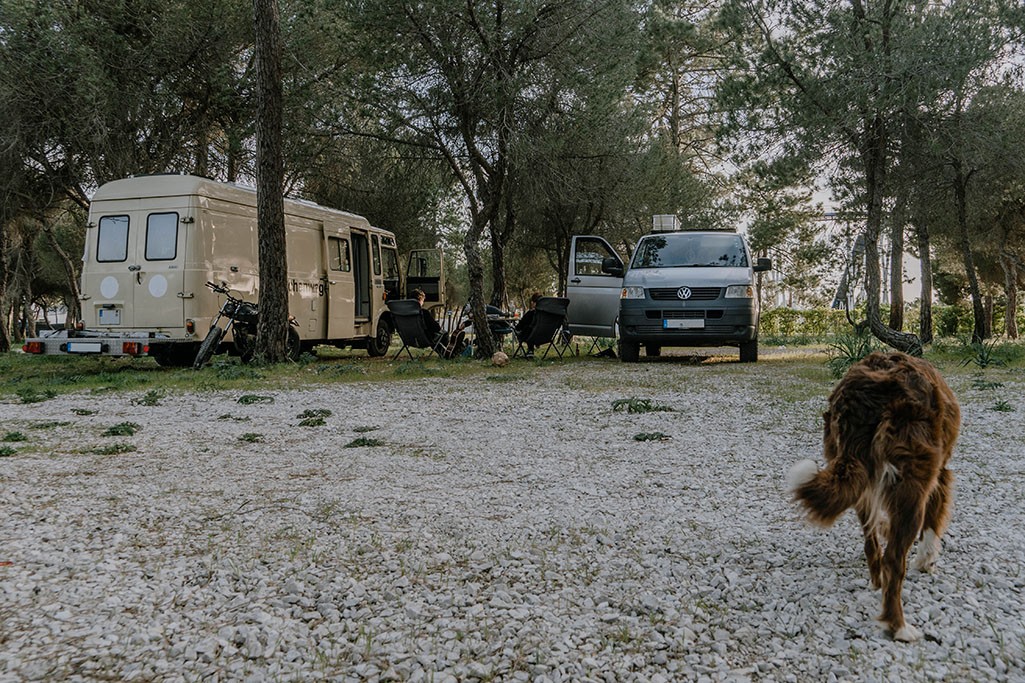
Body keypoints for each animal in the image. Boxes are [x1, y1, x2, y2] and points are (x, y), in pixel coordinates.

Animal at [783, 348, 959, 639]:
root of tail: (860, 396)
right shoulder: (939, 476)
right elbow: (932, 526)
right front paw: (926, 561)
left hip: (858, 476)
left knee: (870, 542)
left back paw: (877, 581)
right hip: (911, 483)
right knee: (893, 559)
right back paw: (899, 627)